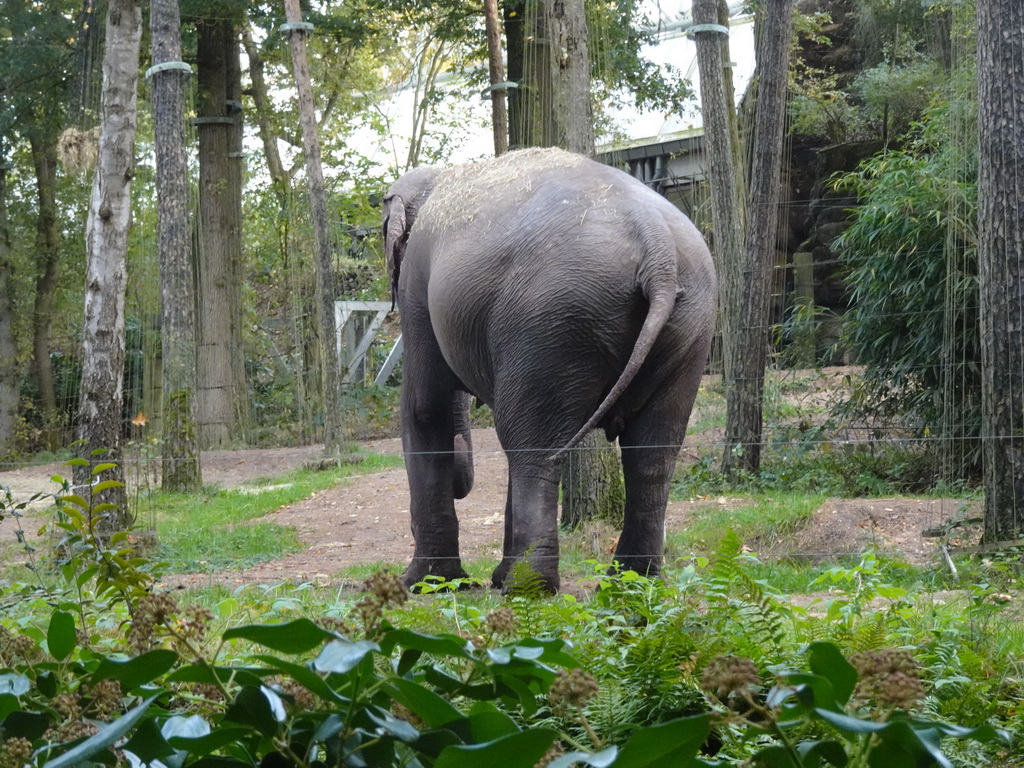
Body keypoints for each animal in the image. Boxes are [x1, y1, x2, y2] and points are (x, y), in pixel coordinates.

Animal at [380, 150, 716, 593]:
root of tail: (656, 243)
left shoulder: (417, 283)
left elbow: (425, 410)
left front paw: (426, 585)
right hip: (691, 326)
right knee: (653, 453)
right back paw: (628, 582)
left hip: (551, 319)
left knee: (530, 445)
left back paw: (529, 587)